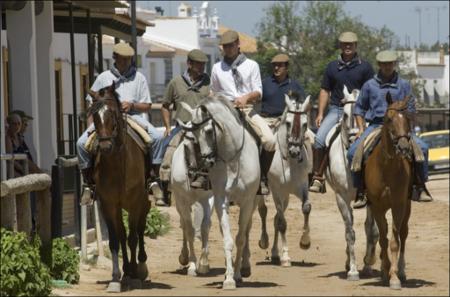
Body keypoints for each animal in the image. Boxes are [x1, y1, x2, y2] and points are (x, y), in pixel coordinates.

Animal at [87, 82, 150, 292]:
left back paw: (140, 267)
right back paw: (127, 271)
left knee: (139, 230)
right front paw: (116, 278)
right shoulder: (108, 204)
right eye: (94, 116)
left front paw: (136, 276)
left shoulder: (135, 203)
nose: (105, 146)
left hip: (144, 203)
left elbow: (133, 237)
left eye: (113, 114)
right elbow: (115, 240)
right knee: (122, 234)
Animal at [177, 95, 258, 290]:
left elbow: (241, 238)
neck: (233, 159)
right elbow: (227, 240)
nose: (207, 163)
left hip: (253, 203)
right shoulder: (221, 200)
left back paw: (244, 268)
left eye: (208, 131)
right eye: (193, 136)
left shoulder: (247, 202)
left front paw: (236, 274)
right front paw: (228, 279)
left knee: (246, 230)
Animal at [256, 94, 312, 266]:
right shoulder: (277, 191)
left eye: (305, 124)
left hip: (287, 196)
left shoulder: (301, 187)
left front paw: (305, 242)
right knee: (263, 211)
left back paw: (274, 253)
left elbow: (306, 208)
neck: (289, 162)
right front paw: (286, 257)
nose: (294, 151)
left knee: (274, 218)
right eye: (288, 123)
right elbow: (282, 223)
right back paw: (264, 242)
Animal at [324, 85, 380, 280]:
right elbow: (350, 234)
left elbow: (372, 231)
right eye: (346, 115)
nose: (353, 139)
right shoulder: (341, 197)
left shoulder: (372, 198)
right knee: (348, 228)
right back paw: (349, 263)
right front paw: (354, 270)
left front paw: (369, 263)